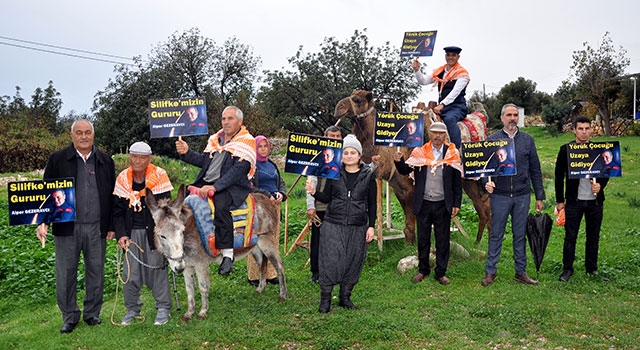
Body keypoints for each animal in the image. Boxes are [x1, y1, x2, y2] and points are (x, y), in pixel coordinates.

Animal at [336, 90, 490, 243]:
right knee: (484, 207)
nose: (339, 107)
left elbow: (411, 220)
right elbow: (408, 223)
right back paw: (478, 242)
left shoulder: (411, 188)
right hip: (469, 181)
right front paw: (410, 241)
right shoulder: (398, 188)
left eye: (357, 100)